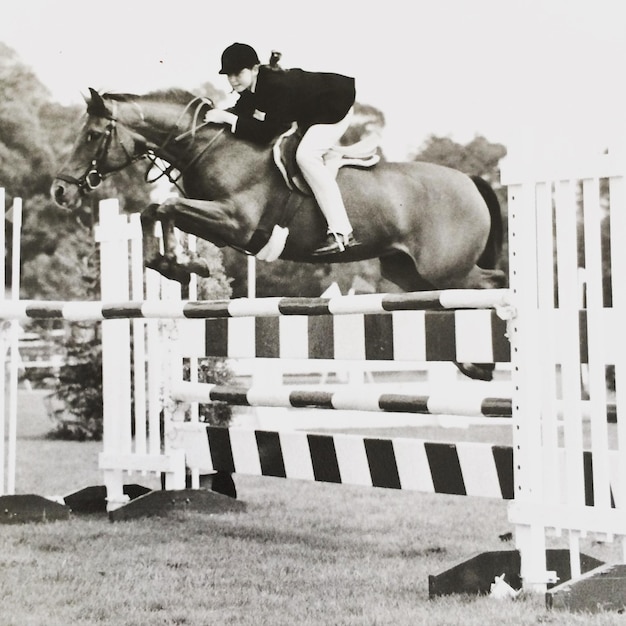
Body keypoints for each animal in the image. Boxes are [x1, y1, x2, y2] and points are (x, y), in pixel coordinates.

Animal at [51, 88, 504, 292]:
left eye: (92, 136)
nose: (59, 191)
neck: (209, 147)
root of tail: (470, 181)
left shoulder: (235, 222)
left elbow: (166, 208)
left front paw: (184, 265)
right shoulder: (219, 223)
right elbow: (156, 212)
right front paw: (181, 266)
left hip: (445, 271)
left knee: (491, 280)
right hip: (407, 273)